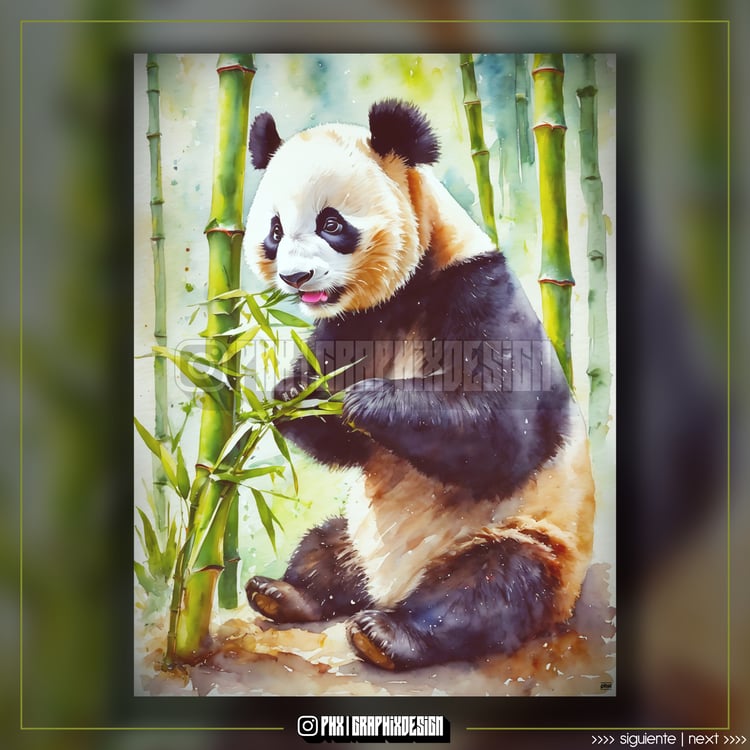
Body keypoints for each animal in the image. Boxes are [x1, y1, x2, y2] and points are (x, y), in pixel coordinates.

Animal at [242, 99, 596, 672]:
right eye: (274, 230)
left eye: (331, 222)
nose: (296, 279)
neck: (411, 288)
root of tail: (391, 589)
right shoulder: (356, 322)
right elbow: (343, 438)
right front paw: (295, 394)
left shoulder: (480, 290)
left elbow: (504, 431)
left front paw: (367, 400)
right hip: (358, 534)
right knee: (325, 546)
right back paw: (284, 592)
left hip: (534, 541)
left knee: (492, 585)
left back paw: (387, 635)